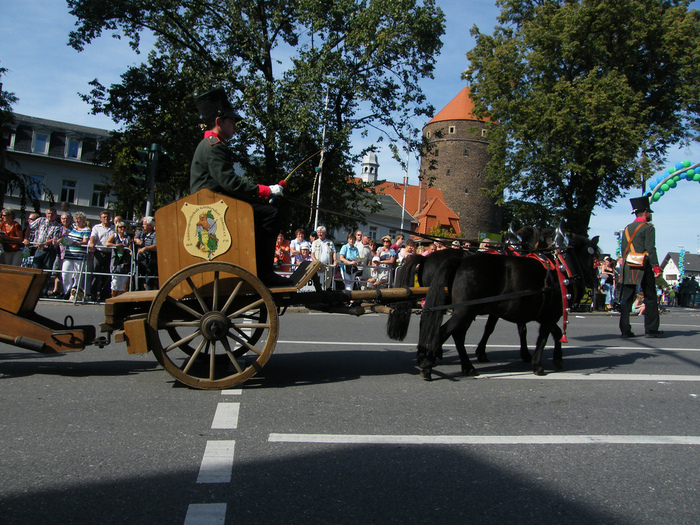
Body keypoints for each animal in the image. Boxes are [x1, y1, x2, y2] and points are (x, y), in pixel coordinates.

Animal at [416, 232, 600, 376]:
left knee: (453, 333)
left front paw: (556, 357)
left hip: (464, 311)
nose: (595, 281)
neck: (563, 269)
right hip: (464, 310)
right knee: (442, 332)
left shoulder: (541, 314)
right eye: (594, 257)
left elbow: (552, 332)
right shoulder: (549, 314)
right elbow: (541, 337)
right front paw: (536, 363)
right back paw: (428, 364)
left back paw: (464, 366)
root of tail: (459, 261)